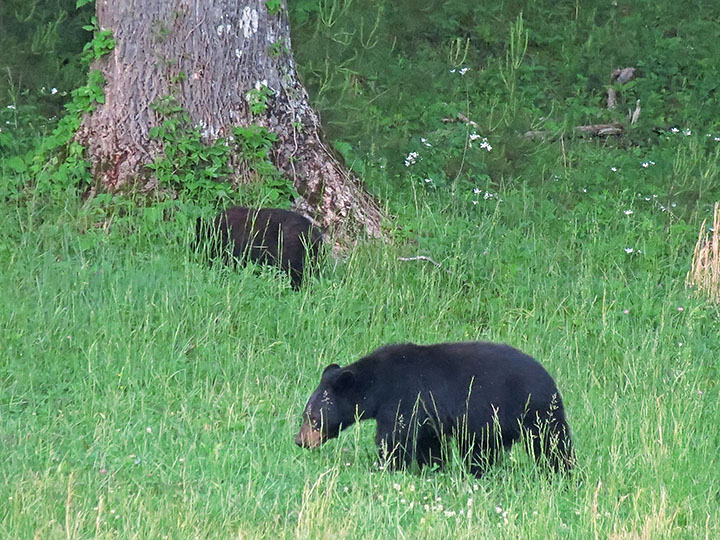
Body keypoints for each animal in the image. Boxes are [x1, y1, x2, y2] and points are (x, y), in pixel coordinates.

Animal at [294, 342, 572, 476]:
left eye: (313, 417)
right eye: (304, 415)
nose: (299, 441)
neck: (378, 384)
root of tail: (551, 383)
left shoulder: (404, 398)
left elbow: (395, 439)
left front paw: (385, 467)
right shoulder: (427, 415)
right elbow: (429, 443)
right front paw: (434, 468)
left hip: (534, 413)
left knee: (553, 446)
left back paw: (562, 473)